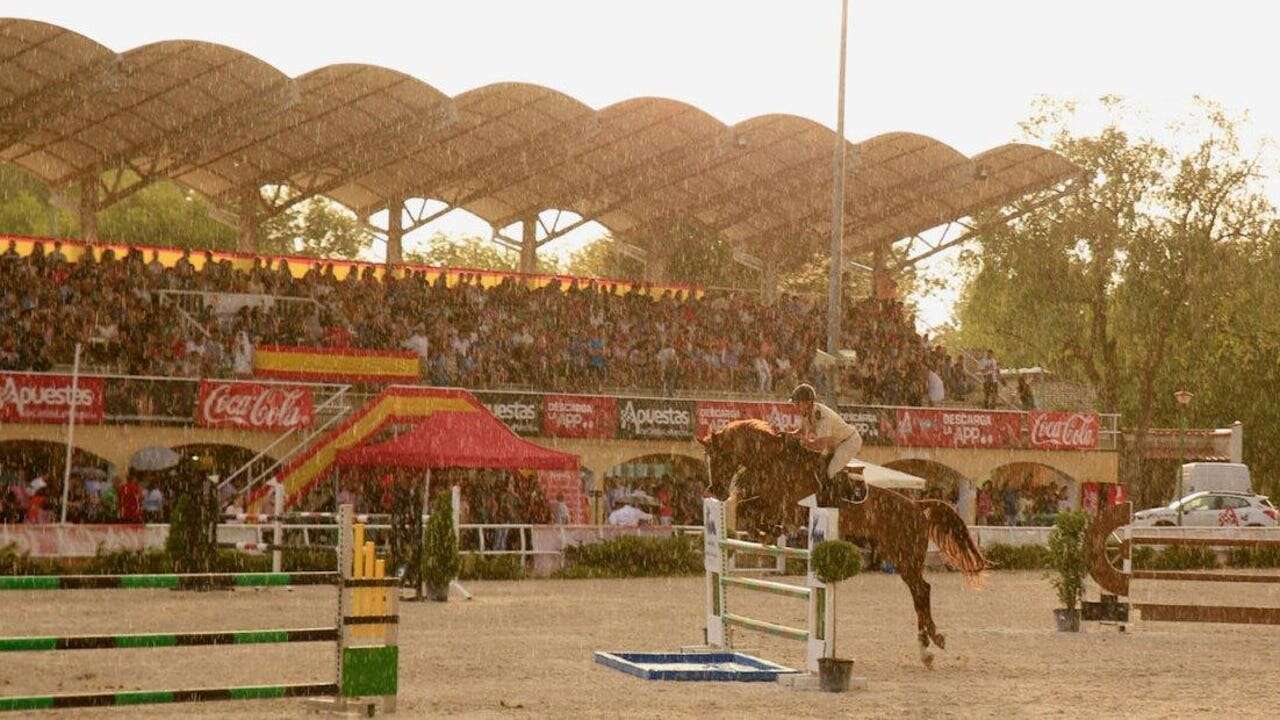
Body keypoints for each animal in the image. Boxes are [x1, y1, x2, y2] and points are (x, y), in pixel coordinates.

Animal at [701, 417, 988, 666]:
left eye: (720, 455)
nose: (716, 491)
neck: (775, 461)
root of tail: (917, 506)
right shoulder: (767, 500)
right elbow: (751, 510)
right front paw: (765, 535)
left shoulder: (790, 506)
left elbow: (762, 513)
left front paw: (770, 532)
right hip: (899, 555)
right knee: (918, 591)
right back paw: (926, 648)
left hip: (906, 555)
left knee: (921, 590)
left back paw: (931, 645)